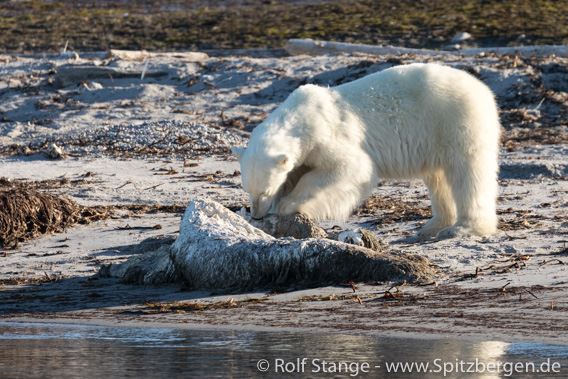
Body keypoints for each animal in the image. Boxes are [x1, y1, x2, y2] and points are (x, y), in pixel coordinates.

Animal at [233, 63, 500, 240]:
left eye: (265, 190)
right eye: (247, 190)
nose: (257, 215)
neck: (301, 117)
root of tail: (481, 88)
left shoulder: (328, 135)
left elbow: (350, 168)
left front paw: (287, 206)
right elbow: (296, 173)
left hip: (455, 121)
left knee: (467, 173)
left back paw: (462, 228)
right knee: (437, 178)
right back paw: (431, 227)